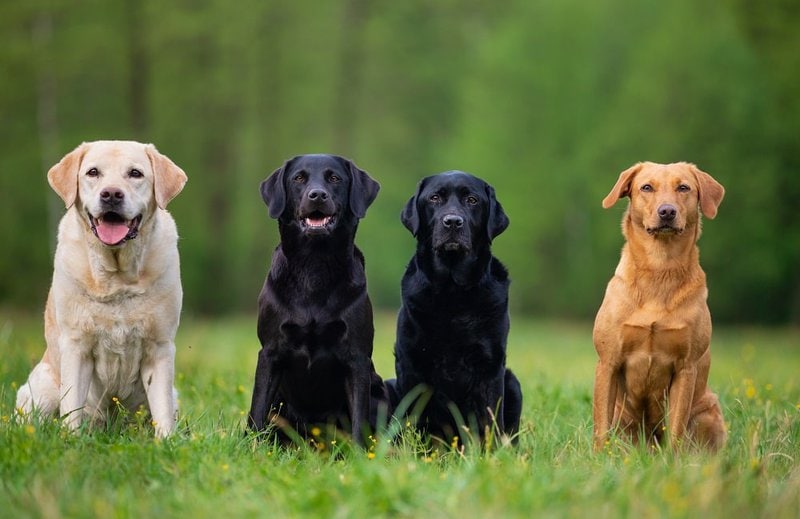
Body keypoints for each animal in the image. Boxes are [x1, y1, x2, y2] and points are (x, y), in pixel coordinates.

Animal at [15, 140, 188, 436]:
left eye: (135, 173)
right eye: (93, 172)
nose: (111, 194)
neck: (117, 278)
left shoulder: (160, 346)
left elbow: (163, 410)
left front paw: (167, 441)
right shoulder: (76, 345)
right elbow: (71, 406)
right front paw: (71, 440)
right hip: (41, 389)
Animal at [248, 153, 390, 442]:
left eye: (334, 178)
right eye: (299, 178)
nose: (317, 195)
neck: (314, 266)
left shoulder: (357, 358)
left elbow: (359, 420)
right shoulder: (270, 352)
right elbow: (257, 410)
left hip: (380, 392)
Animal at [390, 171, 524, 442]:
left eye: (472, 200)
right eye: (434, 198)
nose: (452, 222)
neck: (452, 294)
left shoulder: (490, 365)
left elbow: (490, 418)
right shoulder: (410, 361)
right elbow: (413, 418)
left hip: (513, 382)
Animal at [592, 162, 728, 450]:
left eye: (684, 188)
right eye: (646, 187)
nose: (667, 211)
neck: (659, 268)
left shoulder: (686, 367)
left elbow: (675, 428)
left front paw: (673, 459)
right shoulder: (608, 362)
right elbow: (601, 427)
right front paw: (598, 456)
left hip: (707, 410)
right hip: (624, 416)